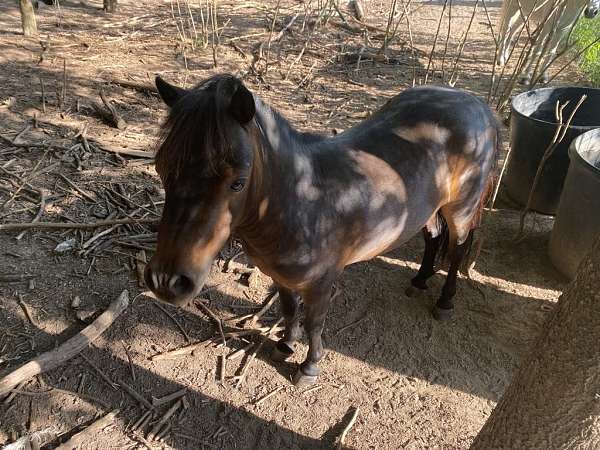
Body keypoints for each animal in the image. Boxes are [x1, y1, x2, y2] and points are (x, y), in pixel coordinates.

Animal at [144, 75, 496, 384]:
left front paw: (309, 366)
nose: (167, 281)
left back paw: (444, 302)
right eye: (161, 169)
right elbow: (288, 310)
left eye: (238, 183)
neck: (301, 200)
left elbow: (314, 323)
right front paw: (285, 345)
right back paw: (420, 281)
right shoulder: (279, 276)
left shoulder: (321, 283)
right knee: (433, 238)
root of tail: (476, 103)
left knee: (457, 250)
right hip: (428, 210)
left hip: (460, 210)